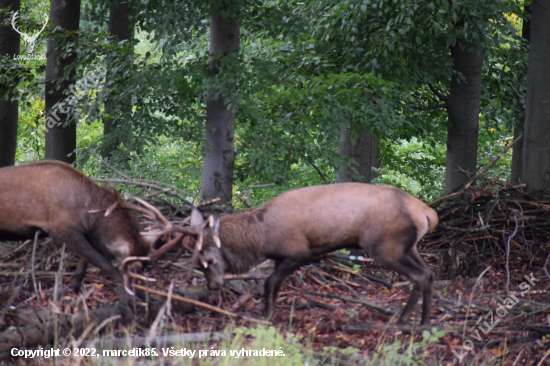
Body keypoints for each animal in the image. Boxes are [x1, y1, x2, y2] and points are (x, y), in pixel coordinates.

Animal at [198, 184, 440, 324]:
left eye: (209, 260)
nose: (212, 285)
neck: (261, 240)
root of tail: (428, 213)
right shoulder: (280, 258)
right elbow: (276, 285)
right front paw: (271, 312)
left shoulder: (300, 253)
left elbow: (269, 282)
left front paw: (266, 315)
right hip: (409, 247)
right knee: (429, 273)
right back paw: (425, 323)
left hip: (386, 246)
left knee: (419, 275)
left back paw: (404, 320)